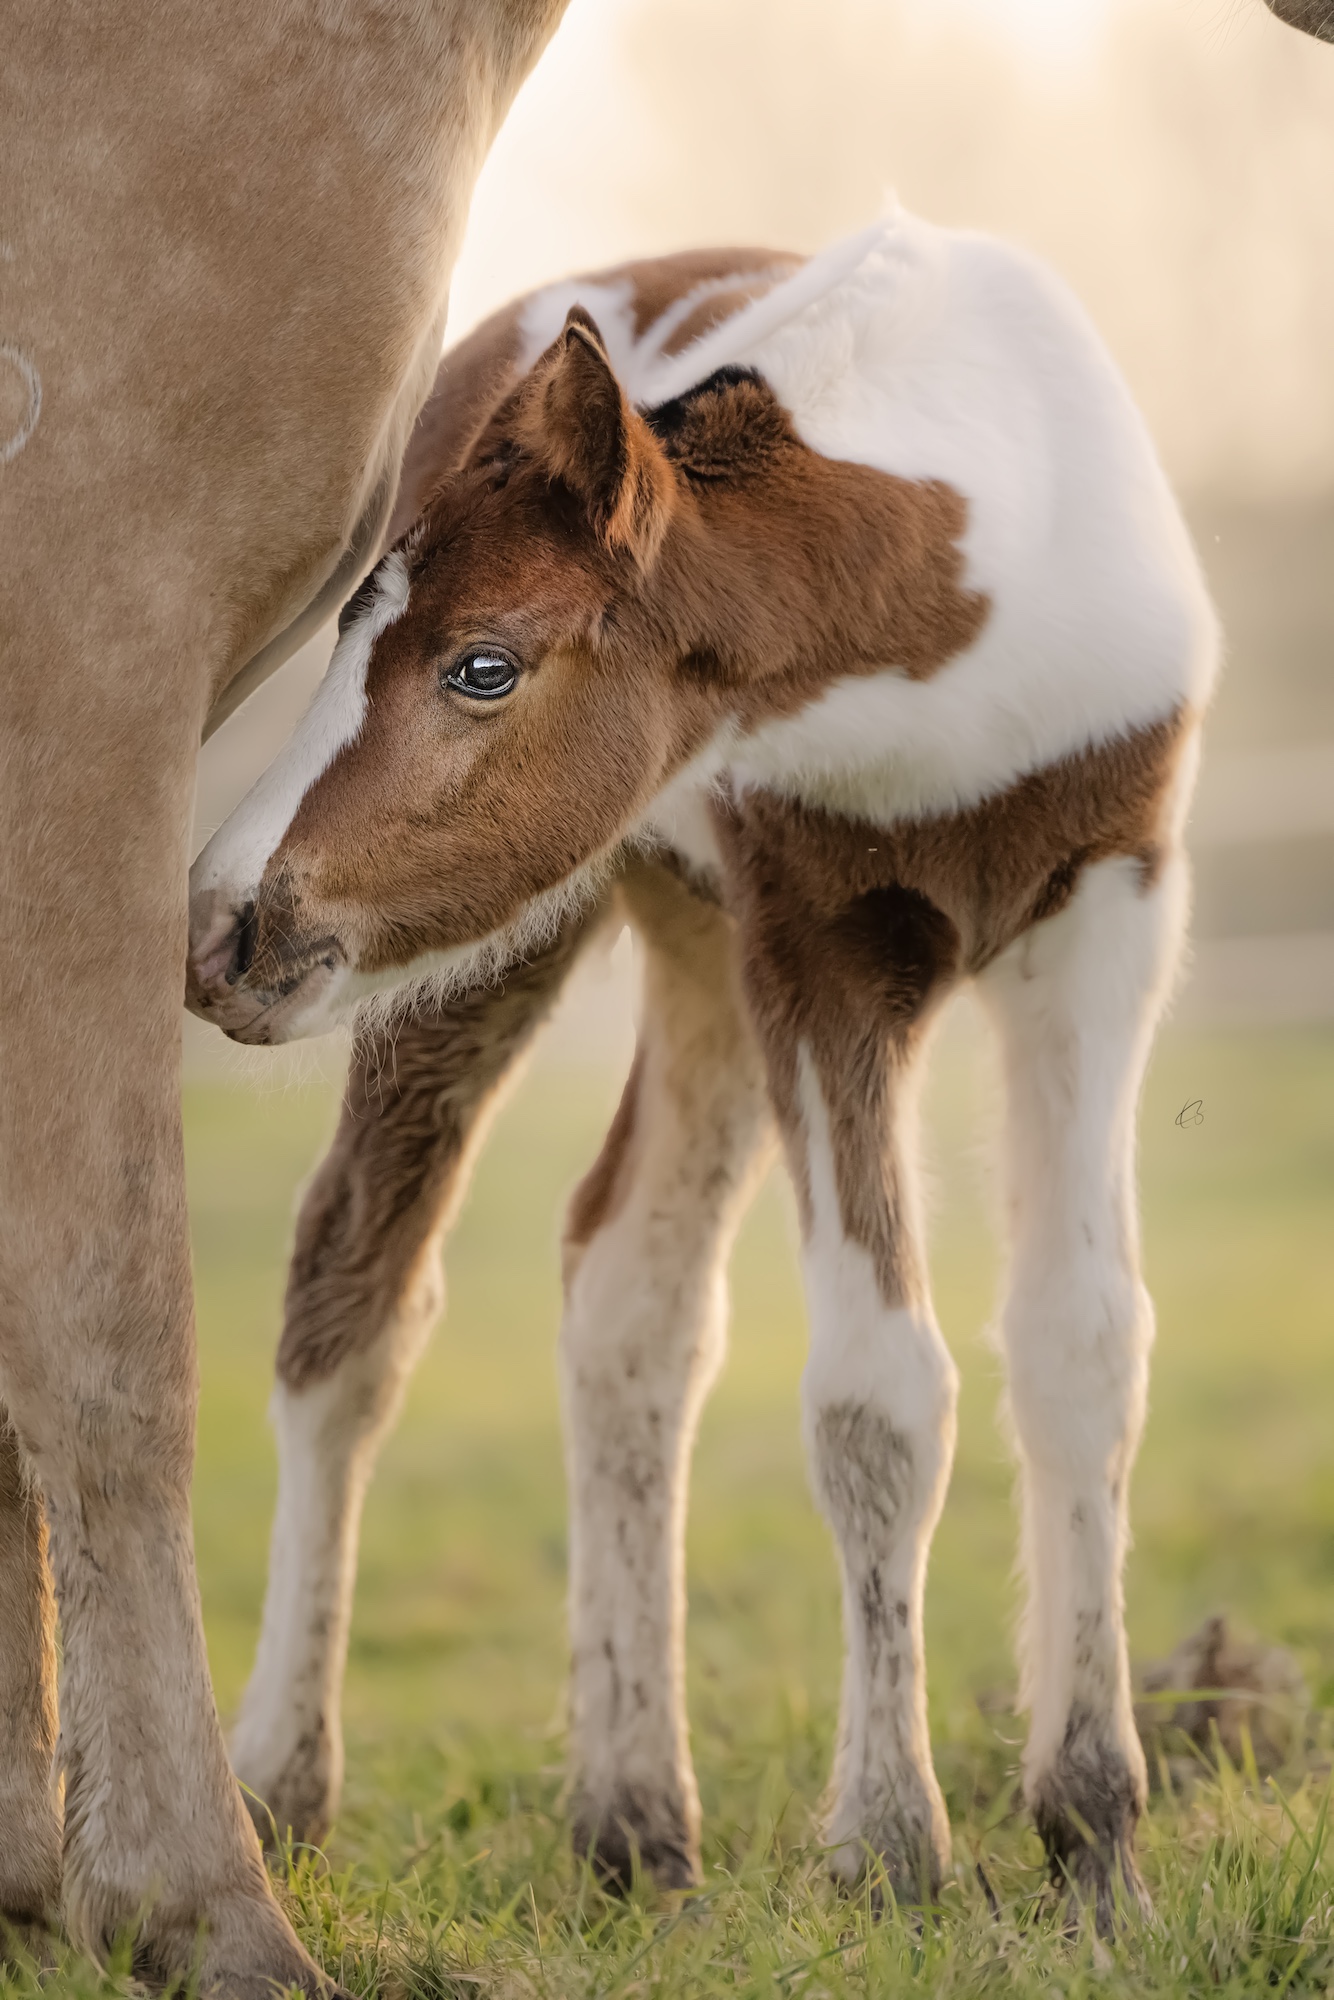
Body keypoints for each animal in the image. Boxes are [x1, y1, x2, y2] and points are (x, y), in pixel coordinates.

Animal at [188, 219, 1224, 1920]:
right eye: (344, 638)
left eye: (483, 666)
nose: (221, 925)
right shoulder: (820, 942)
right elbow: (878, 1392)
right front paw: (891, 1848)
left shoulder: (1106, 908)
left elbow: (1081, 1344)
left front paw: (1093, 1839)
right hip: (509, 948)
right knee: (353, 1294)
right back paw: (279, 1782)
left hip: (690, 945)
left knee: (629, 1291)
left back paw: (633, 1824)